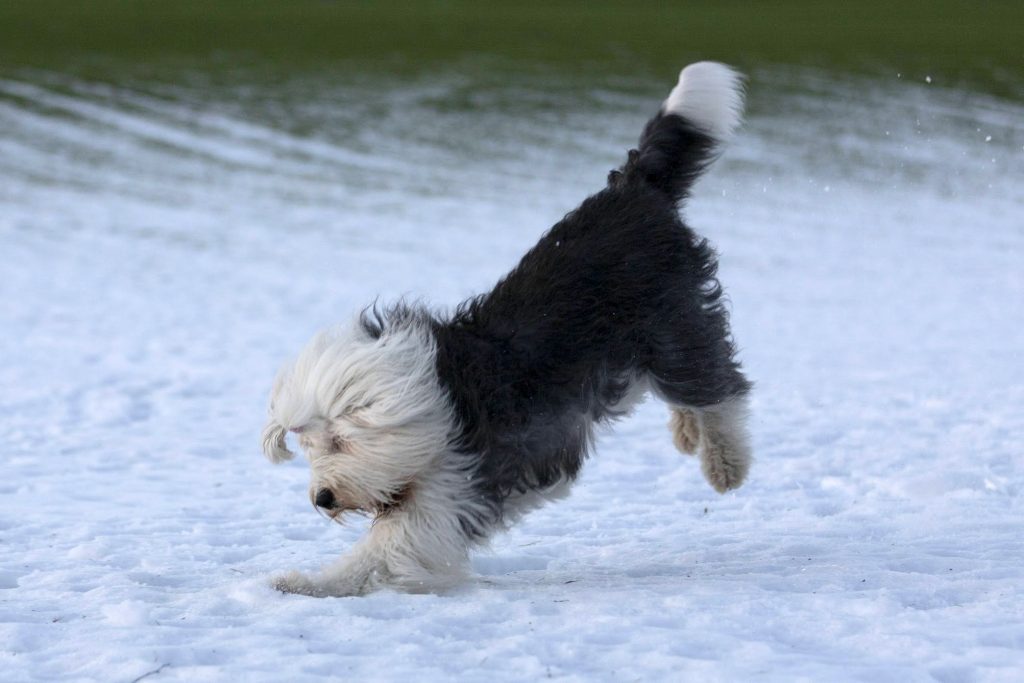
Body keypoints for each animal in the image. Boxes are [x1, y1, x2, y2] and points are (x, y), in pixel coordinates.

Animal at [264, 63, 753, 598]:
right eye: (311, 447)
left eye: (340, 441)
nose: (323, 497)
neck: (431, 405)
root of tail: (634, 188)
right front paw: (301, 583)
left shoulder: (456, 486)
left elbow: (385, 547)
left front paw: (313, 584)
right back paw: (686, 433)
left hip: (674, 328)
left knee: (720, 388)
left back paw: (725, 465)